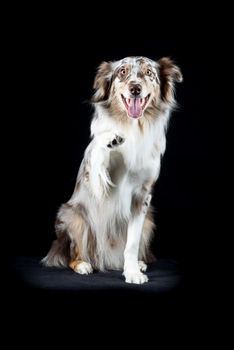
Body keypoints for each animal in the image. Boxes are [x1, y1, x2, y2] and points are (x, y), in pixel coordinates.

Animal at [42, 56, 183, 284]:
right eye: (122, 72)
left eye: (149, 73)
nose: (135, 89)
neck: (134, 127)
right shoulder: (97, 183)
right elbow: (99, 144)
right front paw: (111, 137)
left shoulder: (142, 196)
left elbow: (132, 244)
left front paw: (132, 272)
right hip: (73, 216)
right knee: (74, 253)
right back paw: (83, 264)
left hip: (149, 221)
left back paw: (136, 263)